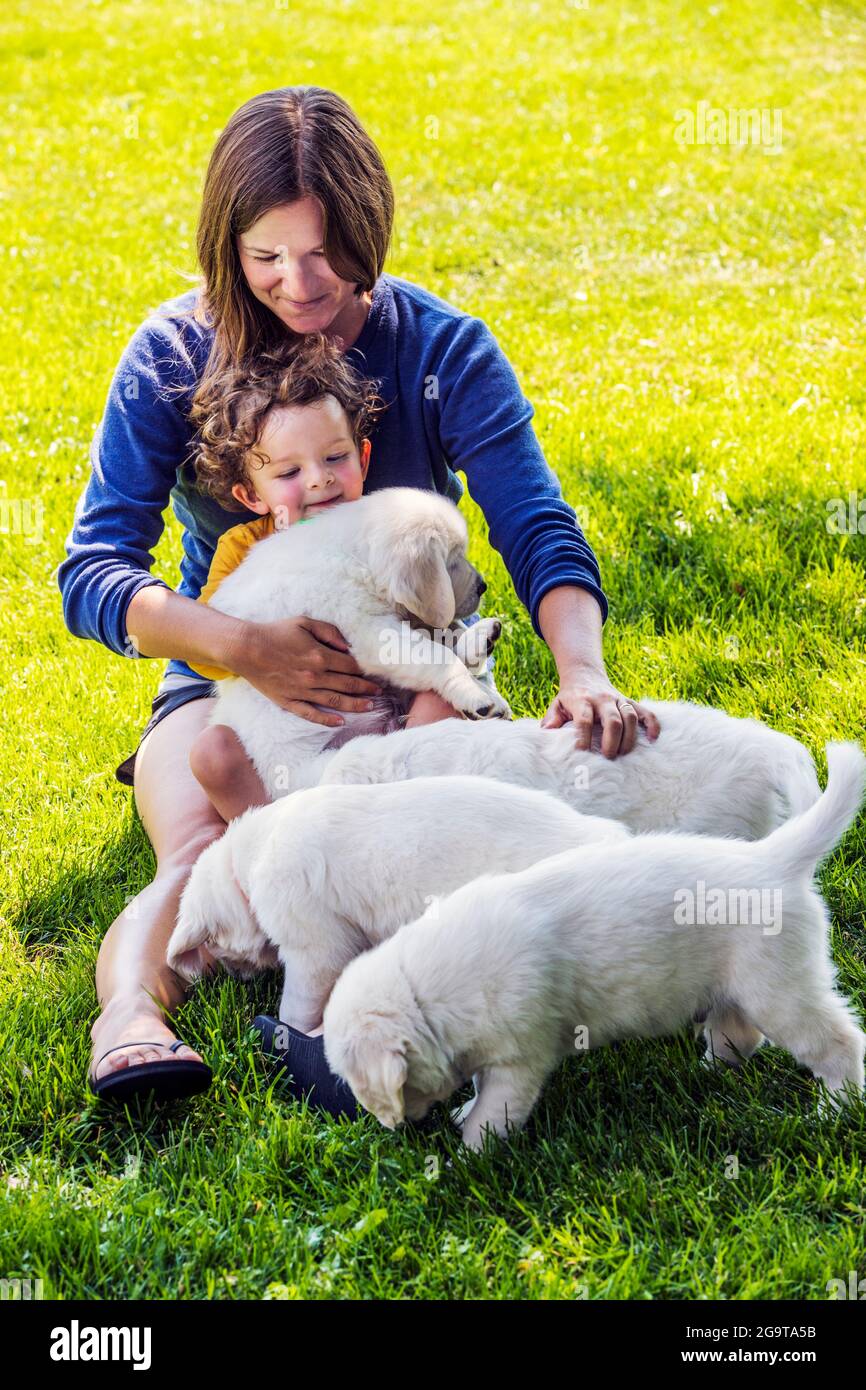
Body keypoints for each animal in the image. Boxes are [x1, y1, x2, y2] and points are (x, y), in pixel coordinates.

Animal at [325, 750, 866, 1150]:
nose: (396, 1129)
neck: (423, 993)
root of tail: (772, 860)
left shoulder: (520, 1061)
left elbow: (494, 1114)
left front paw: (468, 1157)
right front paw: (462, 1111)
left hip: (782, 990)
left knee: (840, 1043)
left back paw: (833, 1110)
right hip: (734, 986)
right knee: (739, 1035)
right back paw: (707, 1073)